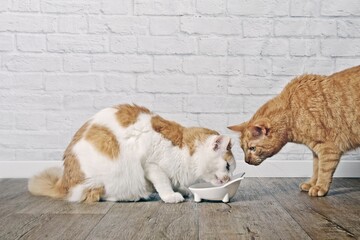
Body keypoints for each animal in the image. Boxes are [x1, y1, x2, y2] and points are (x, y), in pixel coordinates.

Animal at [28, 104, 236, 203]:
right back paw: (132, 196)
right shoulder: (151, 165)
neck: (185, 151)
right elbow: (164, 183)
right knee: (98, 195)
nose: (228, 179)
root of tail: (64, 181)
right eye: (227, 166)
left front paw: (184, 190)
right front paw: (171, 196)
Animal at [229, 65, 358, 197]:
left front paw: (320, 187)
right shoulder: (317, 151)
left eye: (252, 148)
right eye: (243, 149)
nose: (246, 161)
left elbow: (324, 170)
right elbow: (316, 168)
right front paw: (312, 183)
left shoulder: (328, 148)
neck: (292, 112)